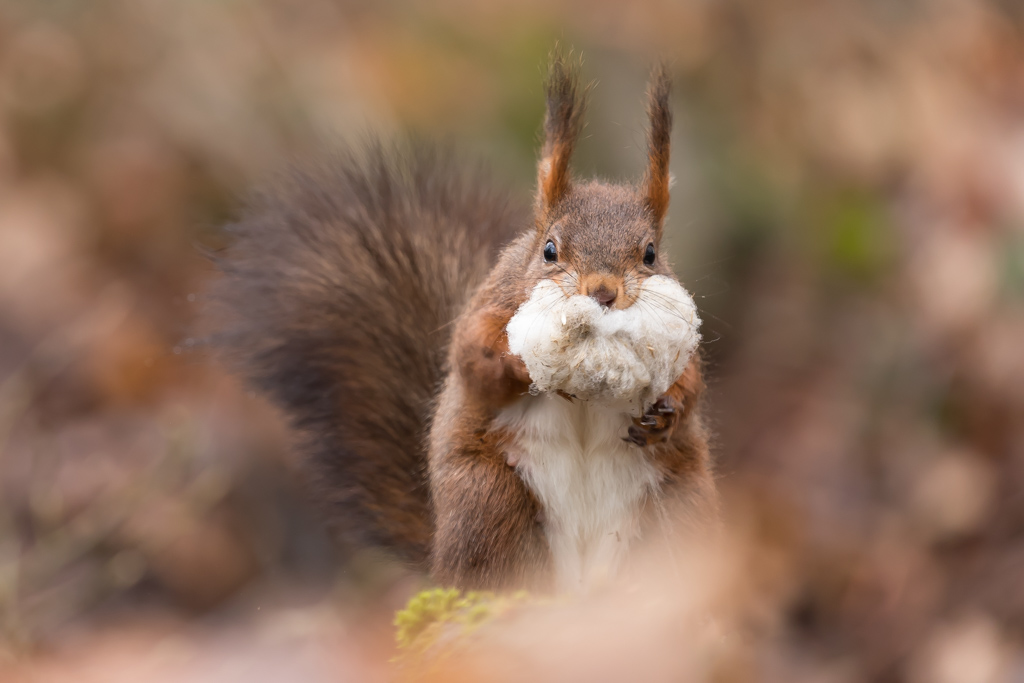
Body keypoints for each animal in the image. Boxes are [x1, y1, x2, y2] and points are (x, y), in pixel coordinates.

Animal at [211, 54, 716, 593]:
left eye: (650, 254)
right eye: (549, 250)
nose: (602, 292)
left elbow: (693, 383)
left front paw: (666, 412)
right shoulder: (487, 308)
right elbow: (470, 358)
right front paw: (520, 362)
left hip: (677, 514)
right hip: (487, 495)